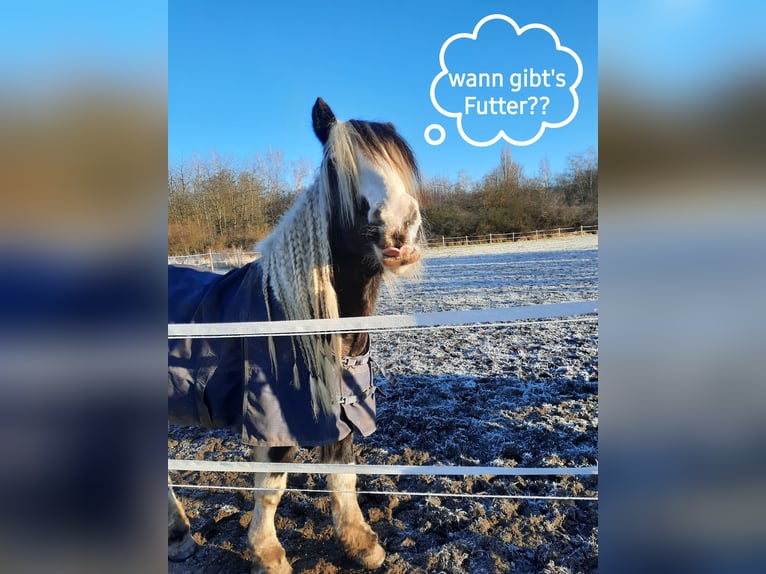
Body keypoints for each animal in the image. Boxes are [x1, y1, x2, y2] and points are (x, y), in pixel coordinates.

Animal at [167, 100, 426, 574]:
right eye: (335, 166)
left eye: (401, 164)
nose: (399, 226)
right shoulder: (275, 418)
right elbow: (272, 485)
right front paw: (267, 554)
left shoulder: (343, 405)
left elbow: (342, 473)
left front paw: (360, 544)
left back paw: (178, 538)